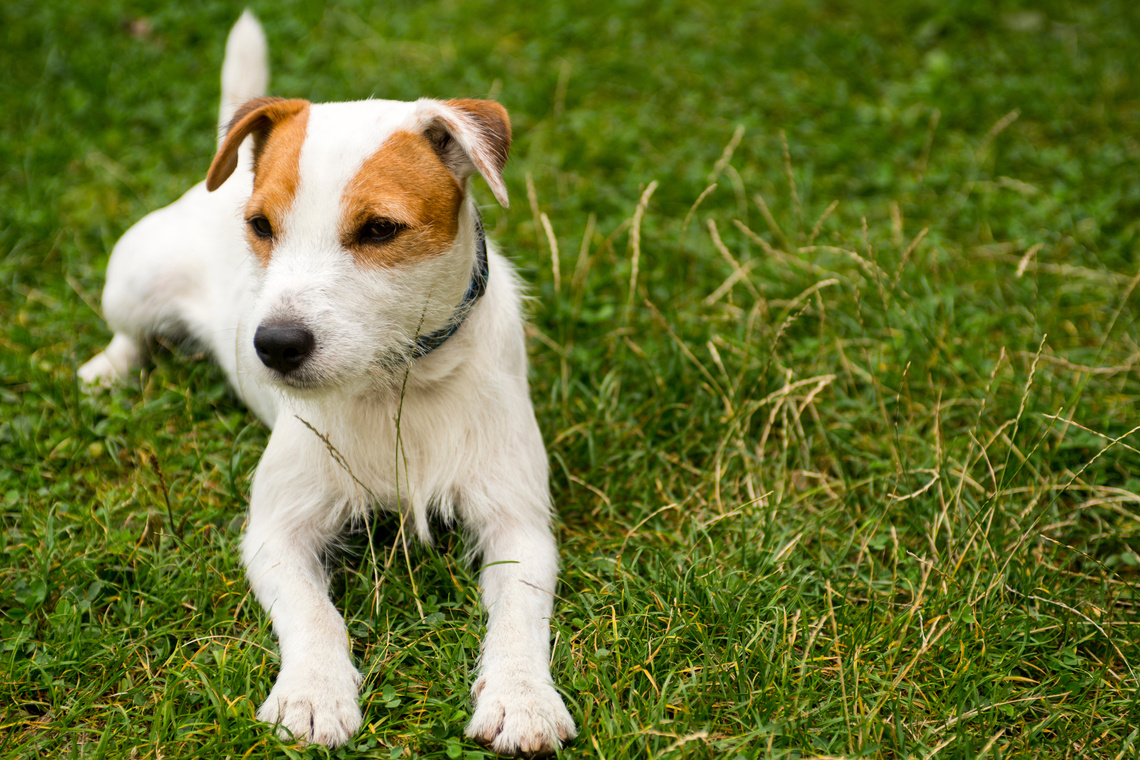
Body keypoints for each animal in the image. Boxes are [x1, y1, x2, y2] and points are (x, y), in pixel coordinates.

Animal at [78, 11, 579, 756]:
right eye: (261, 226)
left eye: (380, 229)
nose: (274, 346)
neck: (398, 380)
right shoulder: (276, 532)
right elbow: (314, 614)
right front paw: (313, 692)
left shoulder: (517, 524)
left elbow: (520, 616)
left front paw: (522, 698)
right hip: (133, 281)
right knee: (130, 334)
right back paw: (106, 372)